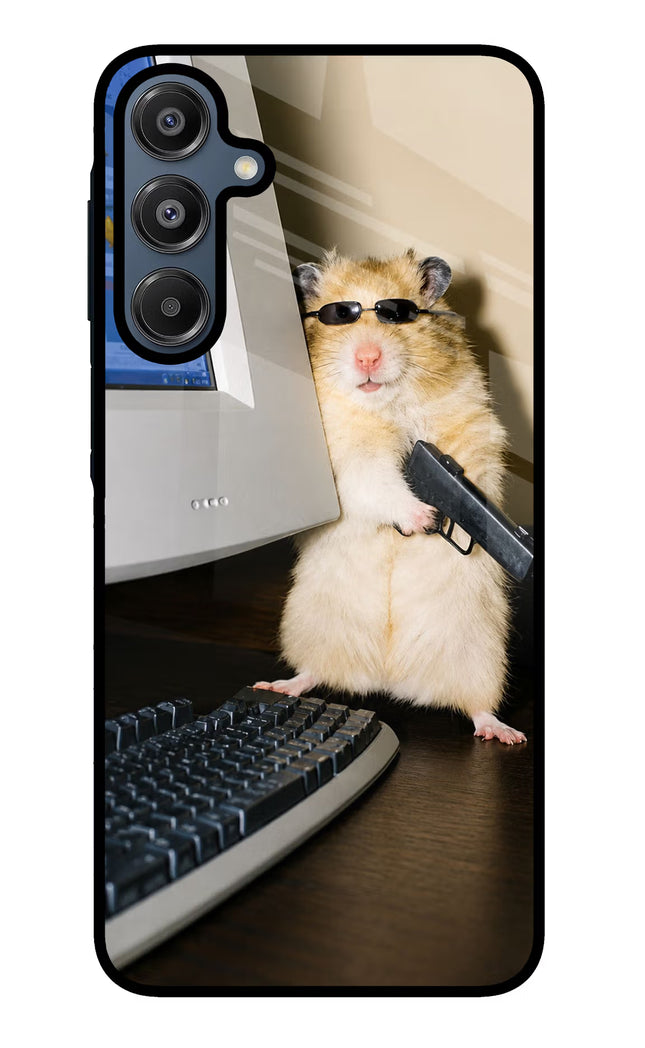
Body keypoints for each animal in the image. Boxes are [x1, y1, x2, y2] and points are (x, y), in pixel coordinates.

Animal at [255, 249, 526, 744]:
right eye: (339, 316)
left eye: (397, 314)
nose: (367, 357)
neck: (386, 404)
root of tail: (388, 678)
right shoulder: (347, 459)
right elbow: (378, 482)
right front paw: (423, 518)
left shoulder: (472, 428)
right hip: (311, 626)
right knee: (314, 672)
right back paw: (279, 685)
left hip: (480, 654)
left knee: (477, 706)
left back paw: (504, 733)